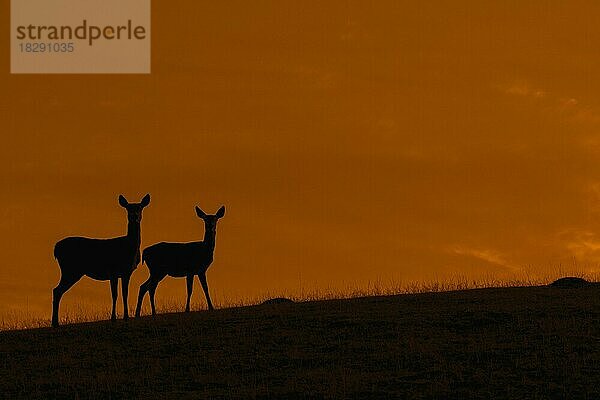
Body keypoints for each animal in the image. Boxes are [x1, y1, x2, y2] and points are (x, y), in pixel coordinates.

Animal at [51, 195, 152, 328]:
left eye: (140, 207)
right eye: (128, 208)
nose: (134, 216)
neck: (129, 248)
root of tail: (56, 248)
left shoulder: (126, 272)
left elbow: (125, 293)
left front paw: (126, 317)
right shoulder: (113, 271)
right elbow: (115, 294)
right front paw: (113, 318)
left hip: (71, 271)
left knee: (57, 290)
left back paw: (55, 323)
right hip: (70, 270)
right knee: (57, 290)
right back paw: (55, 323)